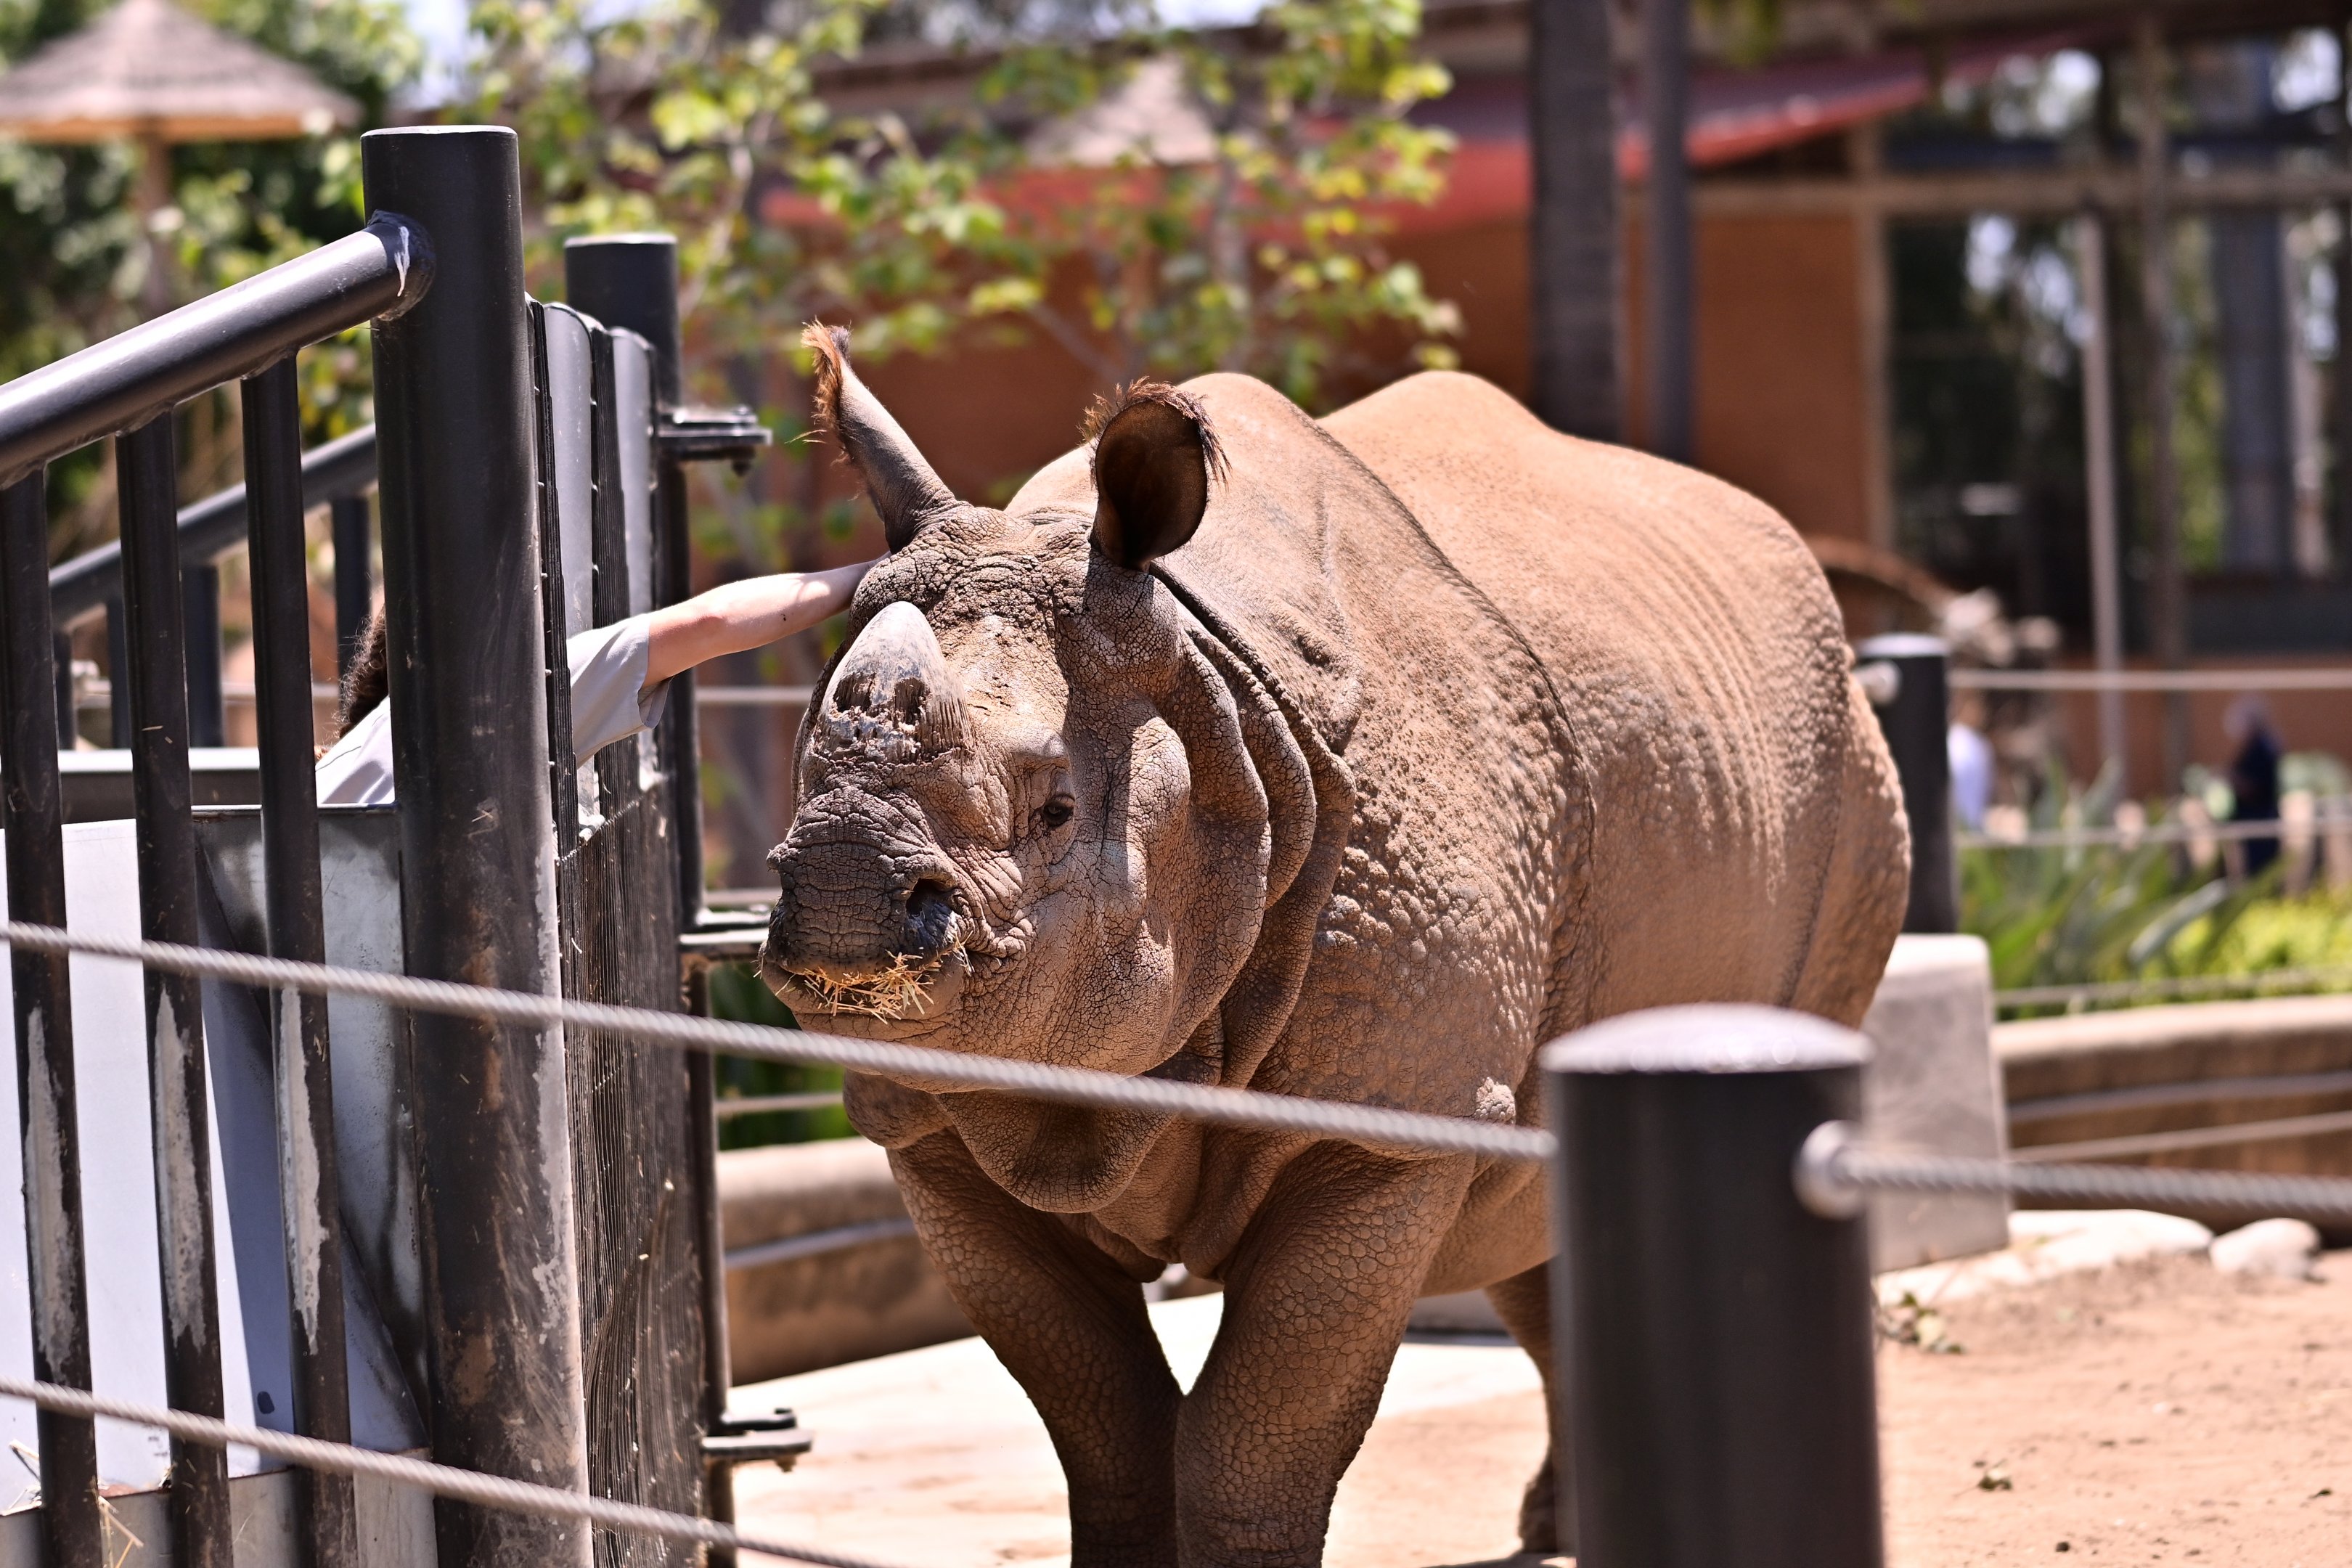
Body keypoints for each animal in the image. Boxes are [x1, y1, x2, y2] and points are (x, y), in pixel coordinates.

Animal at [760, 325, 1909, 1566]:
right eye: (803, 775)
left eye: (1057, 809)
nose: (842, 912)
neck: (1212, 697)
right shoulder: (935, 1129)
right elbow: (1106, 1432)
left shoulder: (1389, 1121)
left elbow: (1252, 1441)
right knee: (1532, 1208)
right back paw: (1561, 1526)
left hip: (1850, 771)